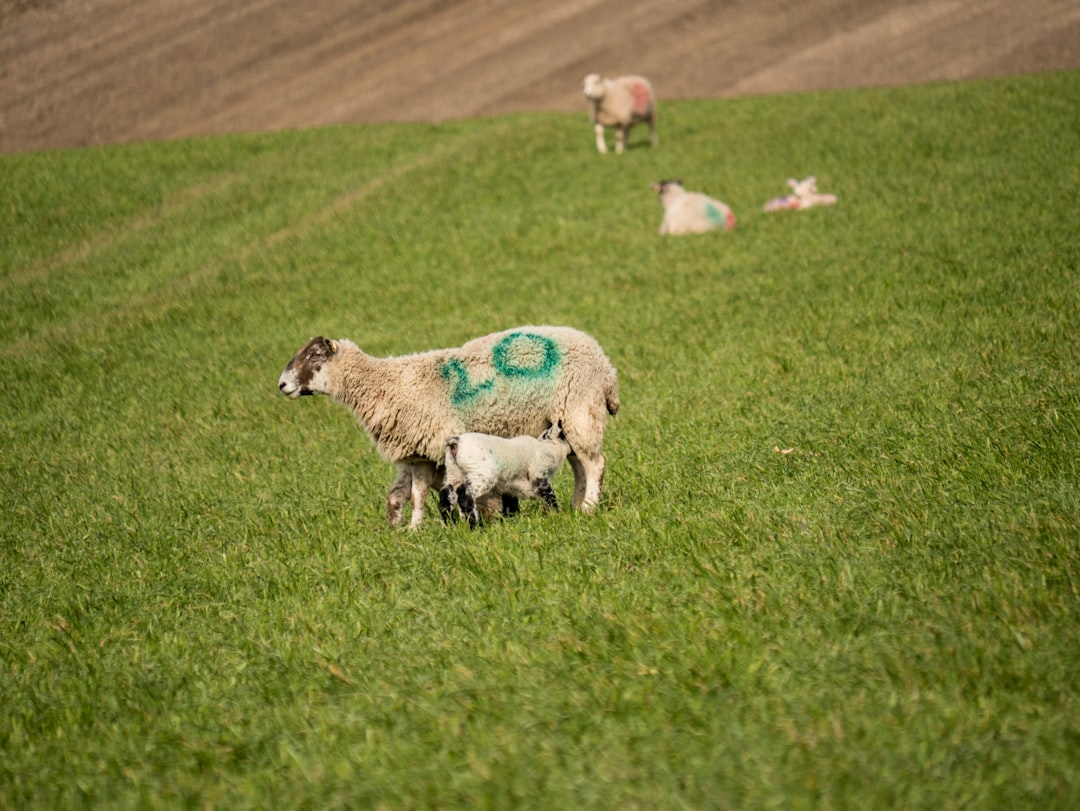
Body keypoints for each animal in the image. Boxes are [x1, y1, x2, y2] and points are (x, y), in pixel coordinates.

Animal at [440, 421, 574, 529]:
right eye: (565, 436)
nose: (574, 451)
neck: (549, 448)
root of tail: (456, 442)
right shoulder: (539, 475)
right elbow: (550, 497)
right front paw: (557, 515)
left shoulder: (509, 485)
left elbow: (510, 504)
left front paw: (511, 520)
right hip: (482, 475)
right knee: (464, 494)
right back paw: (475, 526)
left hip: (454, 474)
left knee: (446, 496)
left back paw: (450, 525)